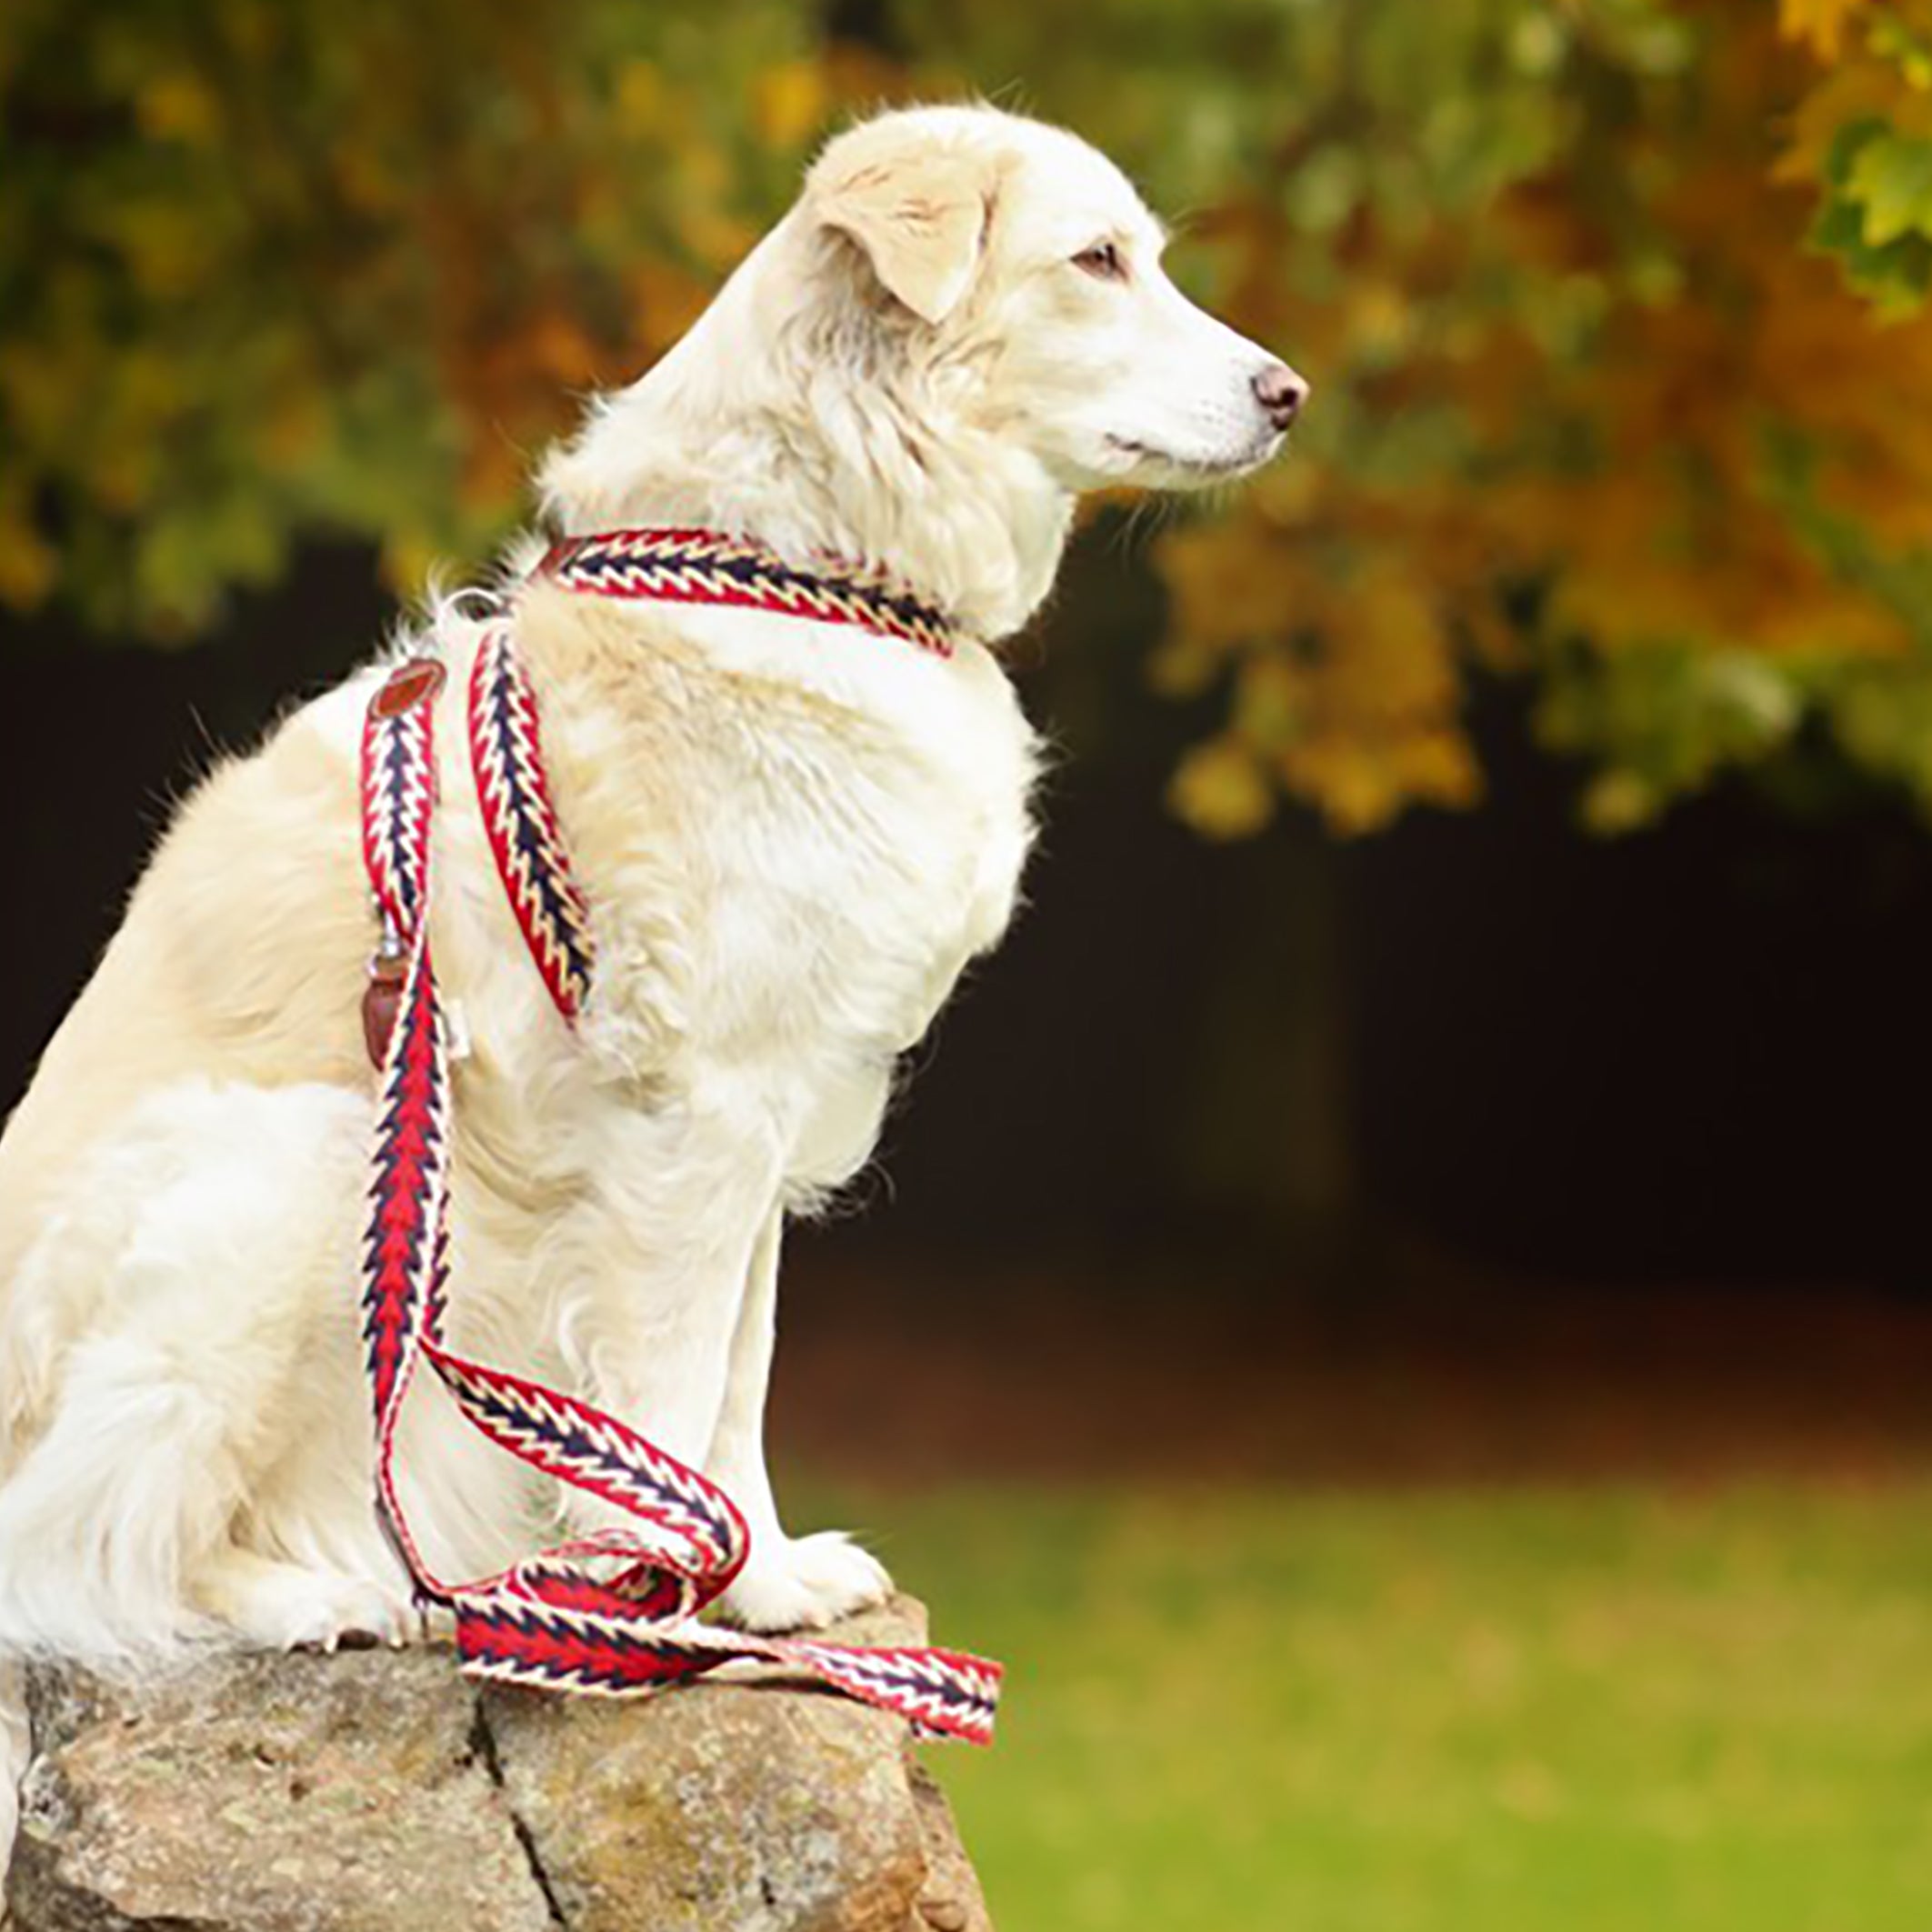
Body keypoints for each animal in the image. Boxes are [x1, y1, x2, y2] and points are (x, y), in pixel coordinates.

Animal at [0, 105, 1306, 1855]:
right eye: (1095, 262)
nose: (1291, 392)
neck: (800, 553)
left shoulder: (765, 1127)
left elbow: (736, 1386)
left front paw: (762, 1585)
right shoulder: (697, 1118)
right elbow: (675, 1388)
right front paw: (677, 1612)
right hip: (300, 1162)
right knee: (80, 1543)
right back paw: (315, 1598)